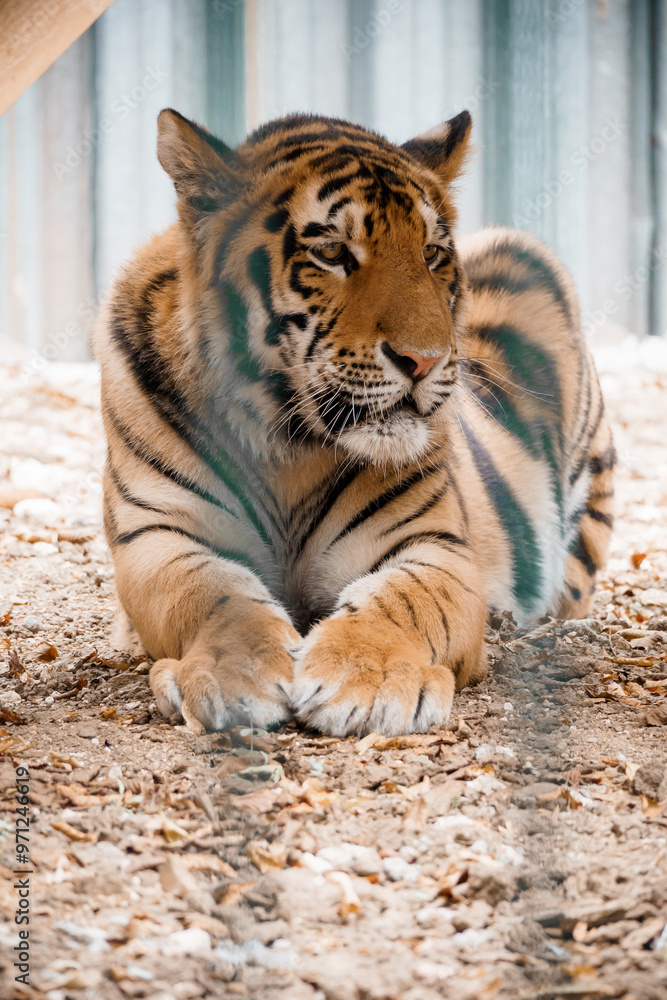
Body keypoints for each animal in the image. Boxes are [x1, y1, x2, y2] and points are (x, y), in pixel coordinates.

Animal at [93, 107, 615, 737]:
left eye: (431, 253)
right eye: (332, 252)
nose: (426, 360)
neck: (285, 443)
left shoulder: (432, 545)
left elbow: (403, 601)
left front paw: (371, 679)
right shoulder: (158, 534)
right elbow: (211, 594)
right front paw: (233, 672)